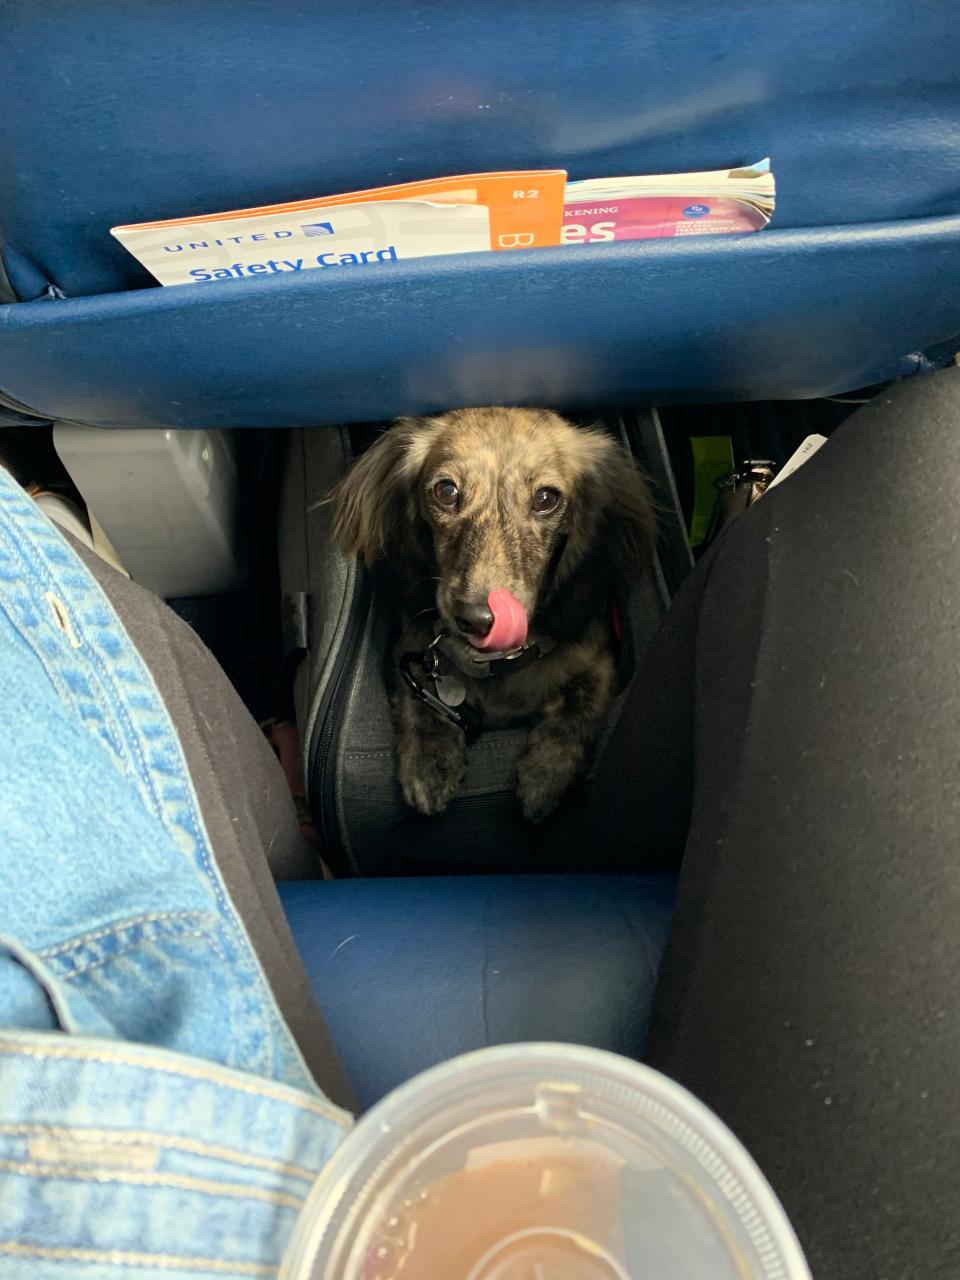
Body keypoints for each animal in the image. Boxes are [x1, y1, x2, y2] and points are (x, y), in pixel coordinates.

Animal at [335, 409, 660, 829]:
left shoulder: (600, 660)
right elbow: (419, 697)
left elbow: (579, 712)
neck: (495, 666)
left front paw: (545, 775)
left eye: (545, 498)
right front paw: (429, 762)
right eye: (446, 491)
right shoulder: (408, 646)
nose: (477, 618)